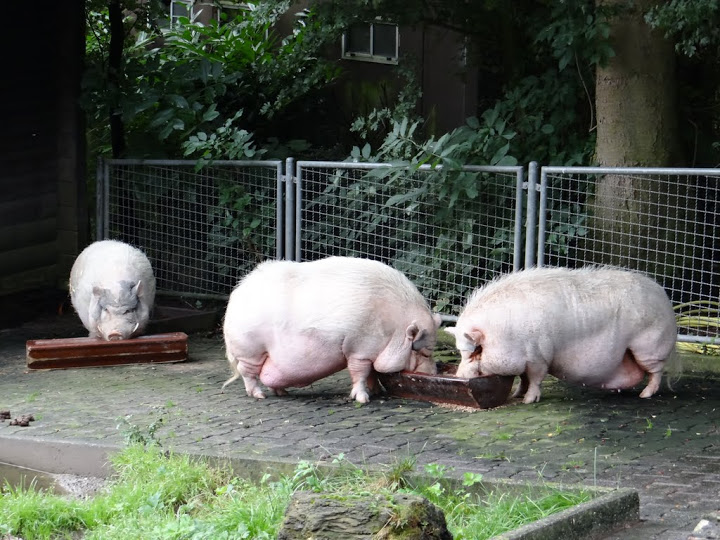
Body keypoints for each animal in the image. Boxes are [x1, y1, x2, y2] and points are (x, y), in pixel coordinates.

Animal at [222, 256, 442, 403]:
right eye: (423, 352)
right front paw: (363, 399)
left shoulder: (369, 352)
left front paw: (376, 392)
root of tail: (236, 296)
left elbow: (371, 372)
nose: (434, 372)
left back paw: (282, 393)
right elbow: (360, 372)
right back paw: (259, 395)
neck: (393, 326)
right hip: (250, 350)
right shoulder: (358, 348)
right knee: (247, 372)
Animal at [445, 266, 678, 403]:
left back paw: (644, 395)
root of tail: (663, 297)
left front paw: (528, 401)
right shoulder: (526, 359)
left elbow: (535, 379)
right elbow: (523, 378)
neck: (506, 334)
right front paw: (516, 394)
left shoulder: (538, 355)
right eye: (461, 352)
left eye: (476, 351)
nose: (459, 376)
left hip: (649, 347)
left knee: (656, 372)